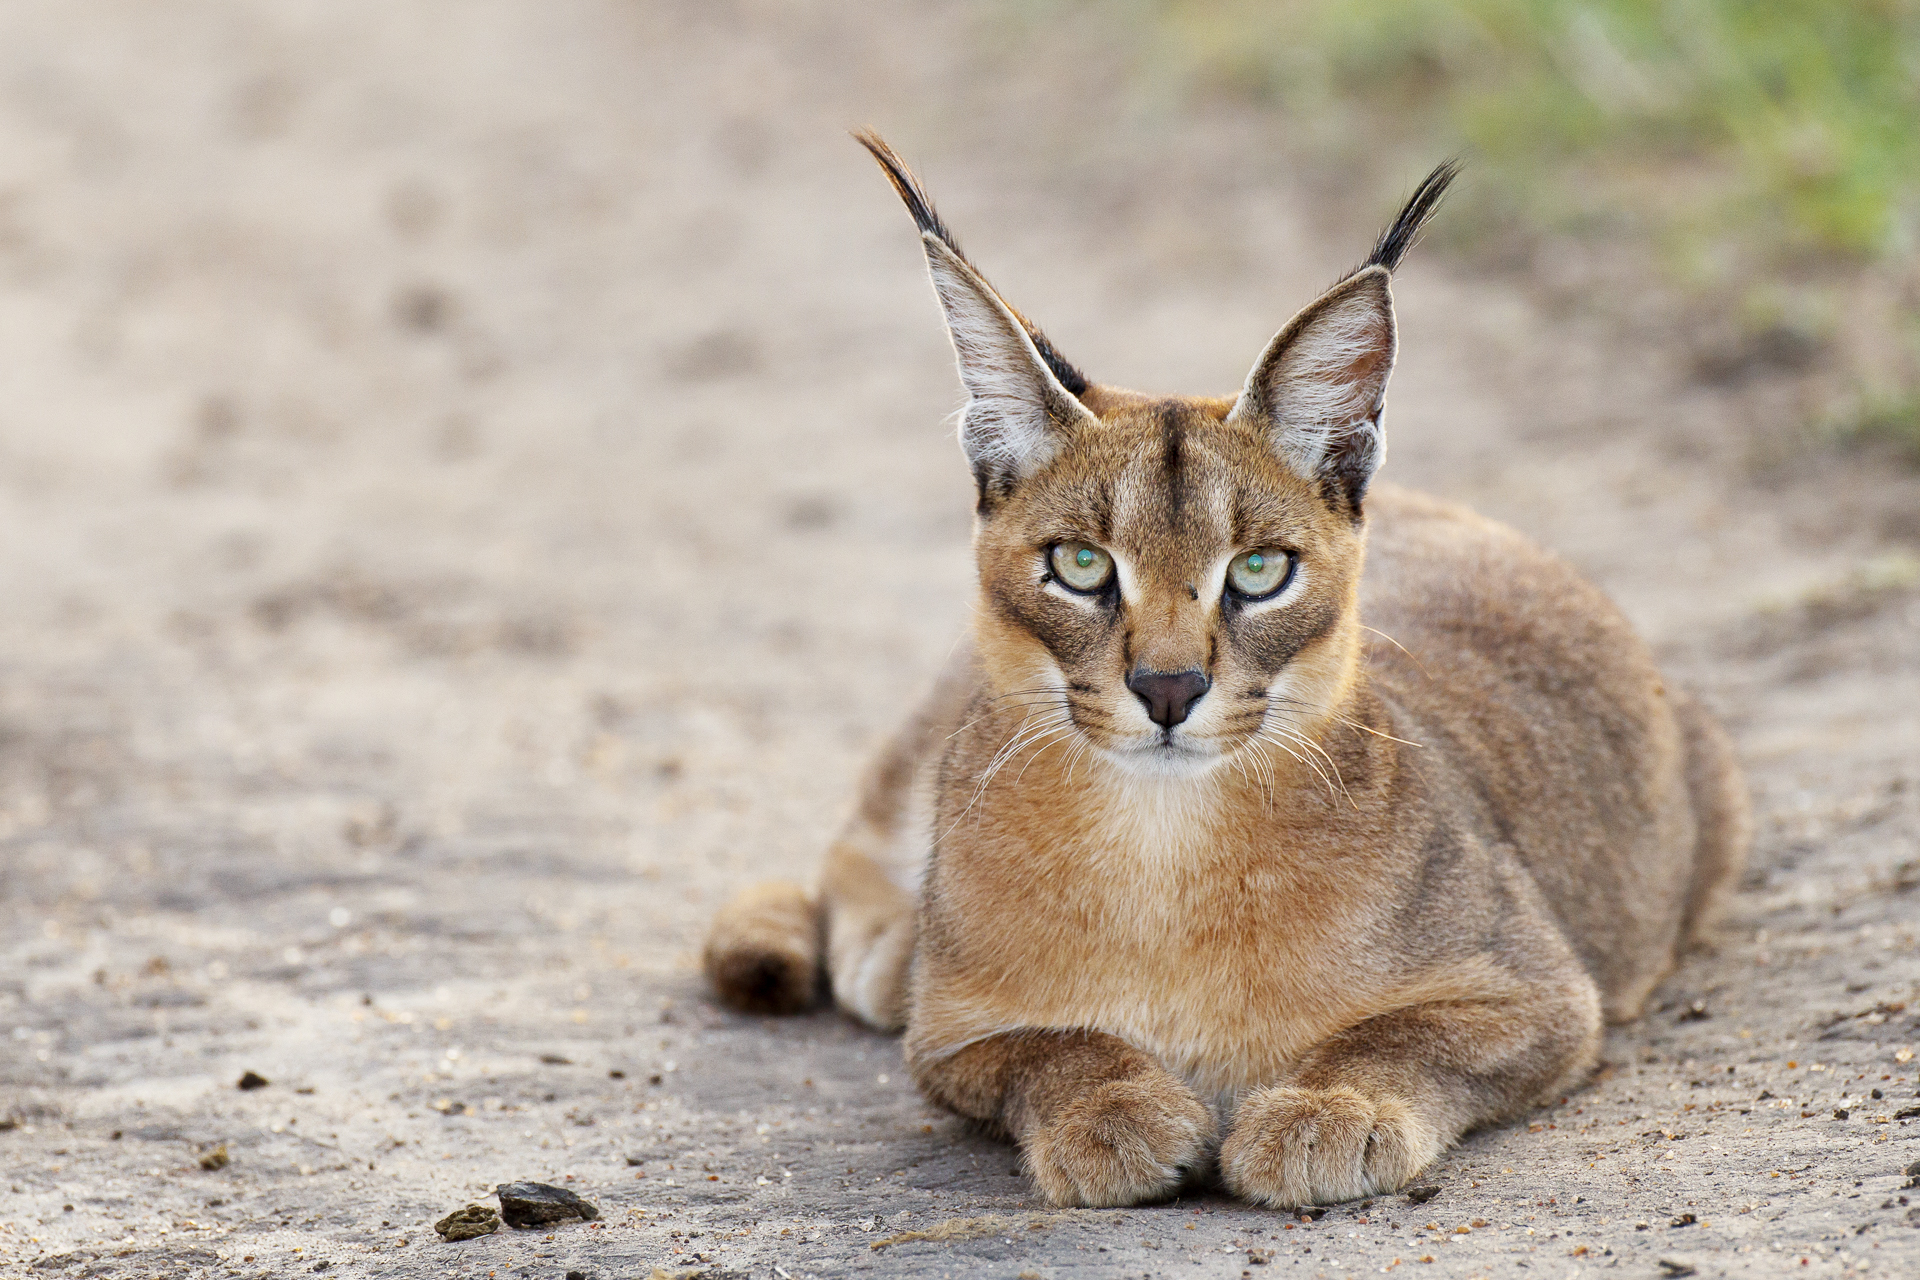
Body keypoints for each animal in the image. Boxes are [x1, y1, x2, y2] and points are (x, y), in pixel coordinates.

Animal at [698, 135, 1751, 1205]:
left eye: (1259, 570)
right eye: (1081, 564)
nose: (1168, 689)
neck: (1163, 851)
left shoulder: (1543, 994)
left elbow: (1405, 1034)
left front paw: (1331, 1108)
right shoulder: (951, 1041)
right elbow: (1049, 1046)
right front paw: (1114, 1110)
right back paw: (887, 944)